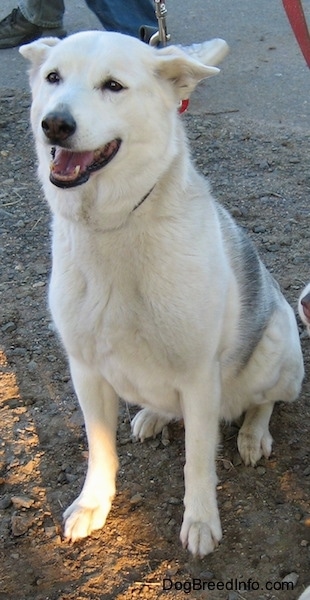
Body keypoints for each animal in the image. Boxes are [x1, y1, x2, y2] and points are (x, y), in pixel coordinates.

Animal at [20, 32, 304, 556]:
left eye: (113, 85)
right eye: (53, 77)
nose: (55, 124)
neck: (115, 224)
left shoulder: (199, 376)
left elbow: (198, 459)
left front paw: (201, 520)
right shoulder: (85, 370)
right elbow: (99, 448)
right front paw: (93, 503)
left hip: (275, 352)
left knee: (264, 402)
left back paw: (253, 433)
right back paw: (153, 415)